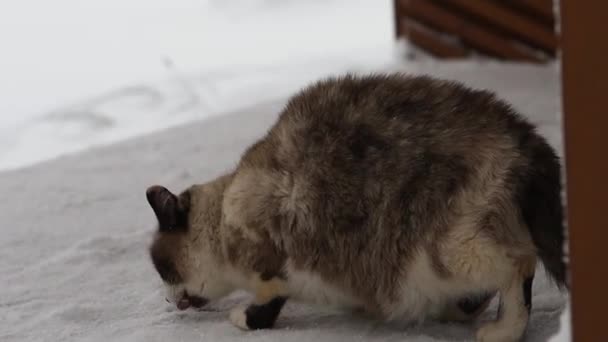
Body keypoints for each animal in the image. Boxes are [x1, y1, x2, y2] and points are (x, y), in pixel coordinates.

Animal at [146, 73, 564, 340]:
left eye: (163, 269)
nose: (166, 300)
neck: (225, 210)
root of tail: (526, 137)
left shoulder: (271, 261)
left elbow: (267, 302)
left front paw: (245, 319)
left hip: (450, 249)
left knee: (519, 264)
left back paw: (502, 331)